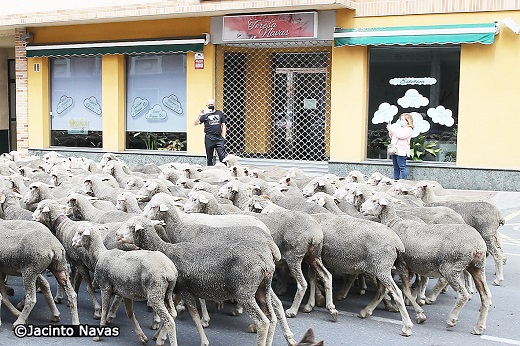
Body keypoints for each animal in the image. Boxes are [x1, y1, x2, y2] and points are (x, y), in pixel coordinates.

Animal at [117, 216, 296, 346]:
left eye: (130, 226)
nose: (117, 235)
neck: (166, 250)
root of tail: (267, 261)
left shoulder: (185, 290)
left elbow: (194, 317)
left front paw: (203, 340)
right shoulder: (177, 291)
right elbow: (173, 314)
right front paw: (159, 336)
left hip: (245, 292)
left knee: (263, 322)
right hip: (261, 290)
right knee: (272, 317)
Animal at [360, 192, 494, 336]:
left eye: (374, 200)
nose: (361, 207)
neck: (394, 223)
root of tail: (478, 245)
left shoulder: (402, 264)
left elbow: (405, 290)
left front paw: (419, 314)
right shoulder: (411, 266)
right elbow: (412, 287)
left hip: (451, 268)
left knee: (463, 294)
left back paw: (451, 319)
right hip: (477, 267)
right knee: (485, 295)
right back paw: (479, 327)